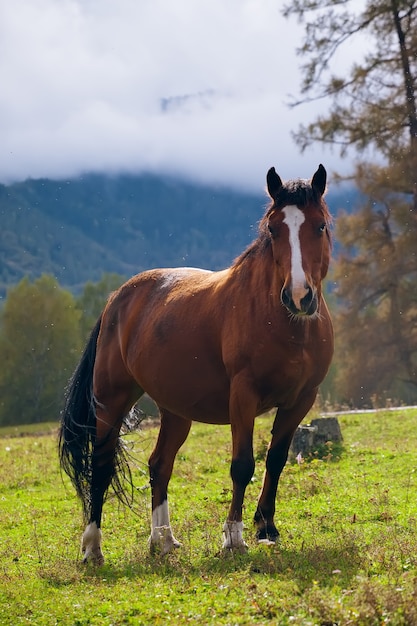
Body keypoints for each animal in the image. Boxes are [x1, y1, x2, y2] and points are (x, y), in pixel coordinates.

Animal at [58, 163, 334, 564]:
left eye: (320, 226)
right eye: (273, 229)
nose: (299, 296)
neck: (284, 323)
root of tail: (116, 300)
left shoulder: (301, 399)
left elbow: (277, 459)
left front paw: (266, 528)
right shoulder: (243, 397)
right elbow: (243, 465)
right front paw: (233, 537)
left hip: (175, 411)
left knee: (159, 465)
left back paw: (162, 540)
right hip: (112, 399)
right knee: (102, 464)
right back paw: (93, 547)